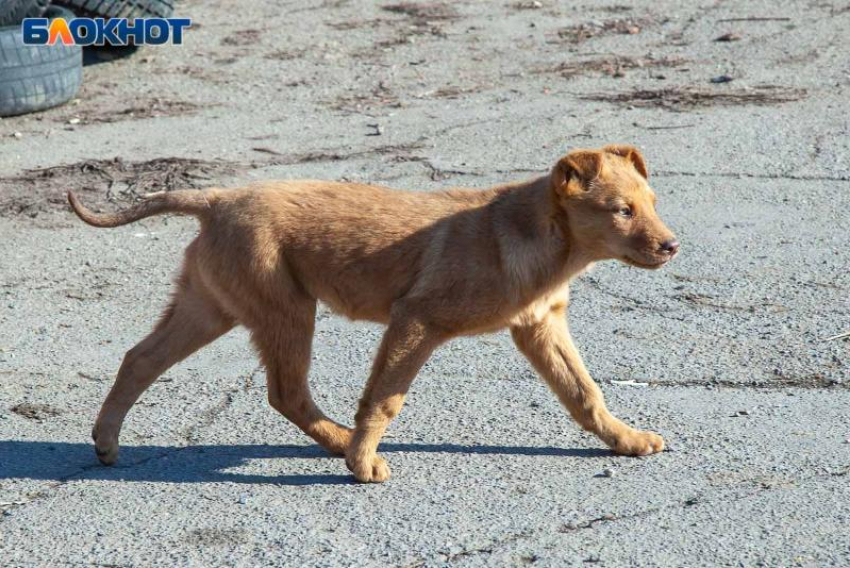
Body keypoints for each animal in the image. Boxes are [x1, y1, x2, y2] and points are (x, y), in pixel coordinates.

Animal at [68, 144, 676, 482]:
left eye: (651, 204)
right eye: (622, 210)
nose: (672, 246)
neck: (539, 239)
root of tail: (216, 199)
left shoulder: (539, 326)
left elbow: (583, 392)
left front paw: (625, 439)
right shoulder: (416, 320)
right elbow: (384, 400)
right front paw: (363, 465)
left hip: (211, 304)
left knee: (139, 359)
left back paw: (106, 441)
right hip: (285, 308)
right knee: (284, 392)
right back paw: (341, 445)